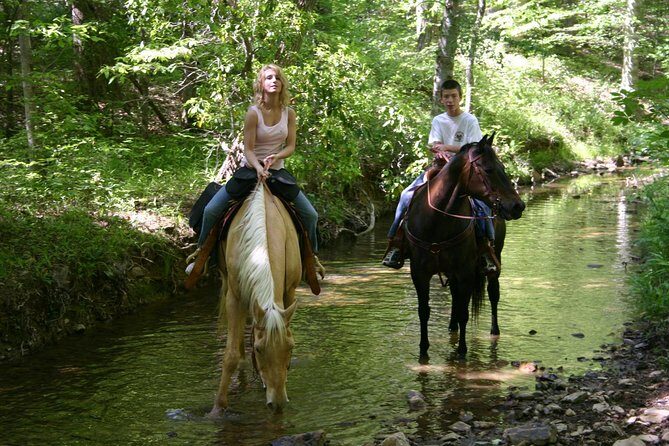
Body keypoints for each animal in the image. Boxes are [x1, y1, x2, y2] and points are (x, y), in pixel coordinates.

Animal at [209, 180, 302, 416]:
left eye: (290, 347)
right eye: (259, 350)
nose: (277, 403)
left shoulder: (289, 292)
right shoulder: (235, 298)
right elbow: (230, 355)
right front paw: (218, 407)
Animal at [404, 134, 525, 360]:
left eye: (503, 167)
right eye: (488, 169)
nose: (518, 206)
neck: (437, 221)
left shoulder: (465, 272)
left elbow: (464, 312)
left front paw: (461, 352)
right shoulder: (420, 273)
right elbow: (424, 311)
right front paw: (423, 350)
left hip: (495, 258)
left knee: (493, 293)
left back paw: (494, 332)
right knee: (454, 297)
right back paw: (451, 328)